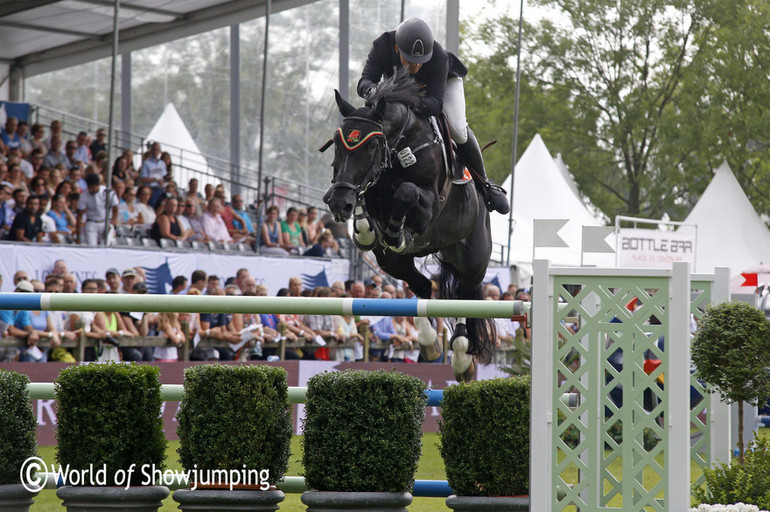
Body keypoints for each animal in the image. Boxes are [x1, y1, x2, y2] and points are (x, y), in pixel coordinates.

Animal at [320, 69, 496, 380]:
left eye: (371, 146)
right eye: (338, 143)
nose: (339, 203)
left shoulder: (429, 203)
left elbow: (406, 192)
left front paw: (397, 233)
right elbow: (368, 215)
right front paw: (365, 223)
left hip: (473, 260)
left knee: (464, 297)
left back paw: (462, 359)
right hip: (393, 263)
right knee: (423, 287)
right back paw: (429, 344)